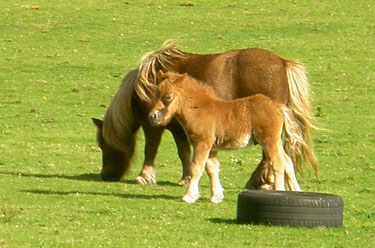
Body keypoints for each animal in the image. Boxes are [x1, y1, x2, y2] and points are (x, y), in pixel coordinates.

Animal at [92, 40, 318, 188]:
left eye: (104, 144)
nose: (105, 175)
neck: (147, 84)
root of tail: (282, 62)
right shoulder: (178, 128)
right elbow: (183, 152)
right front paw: (185, 178)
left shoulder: (153, 125)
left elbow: (151, 150)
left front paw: (144, 176)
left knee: (269, 154)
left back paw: (260, 181)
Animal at [149, 71, 302, 203]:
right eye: (156, 93)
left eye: (168, 97)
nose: (153, 116)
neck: (198, 109)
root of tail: (277, 106)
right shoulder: (211, 147)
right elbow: (212, 169)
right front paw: (216, 197)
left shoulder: (202, 143)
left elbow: (196, 168)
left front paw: (189, 196)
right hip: (276, 141)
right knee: (287, 161)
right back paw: (296, 191)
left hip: (268, 141)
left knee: (277, 163)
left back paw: (280, 190)